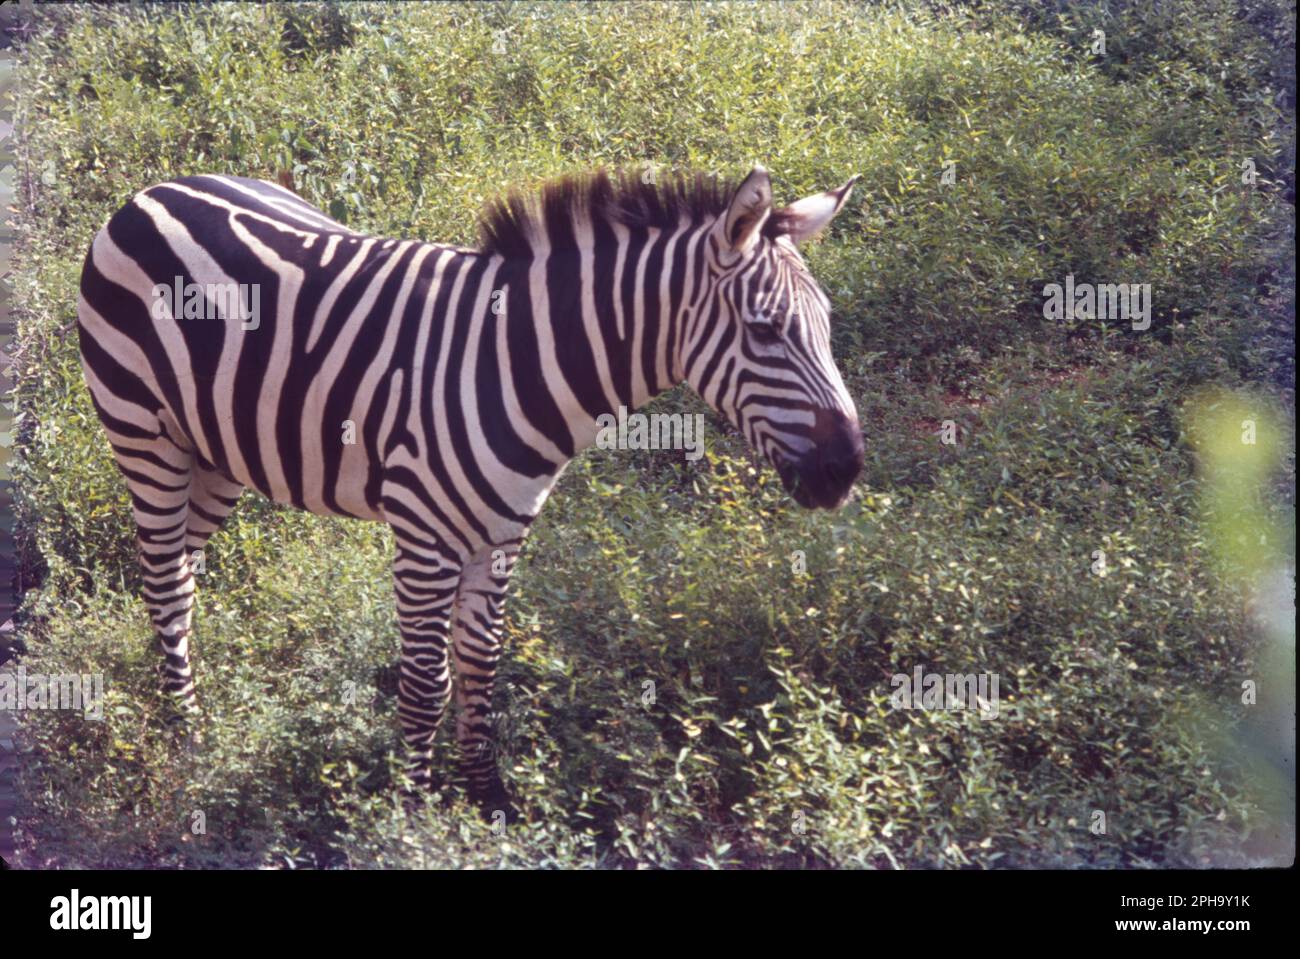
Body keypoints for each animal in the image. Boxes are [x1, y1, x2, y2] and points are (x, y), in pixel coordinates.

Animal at [76, 165, 865, 812]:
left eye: (827, 326)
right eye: (765, 330)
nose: (847, 469)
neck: (519, 363)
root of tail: (153, 190)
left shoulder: (504, 532)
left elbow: (481, 664)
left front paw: (488, 798)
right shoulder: (424, 540)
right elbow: (427, 681)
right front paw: (415, 809)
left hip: (216, 455)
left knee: (182, 573)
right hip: (145, 435)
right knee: (164, 580)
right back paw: (185, 729)